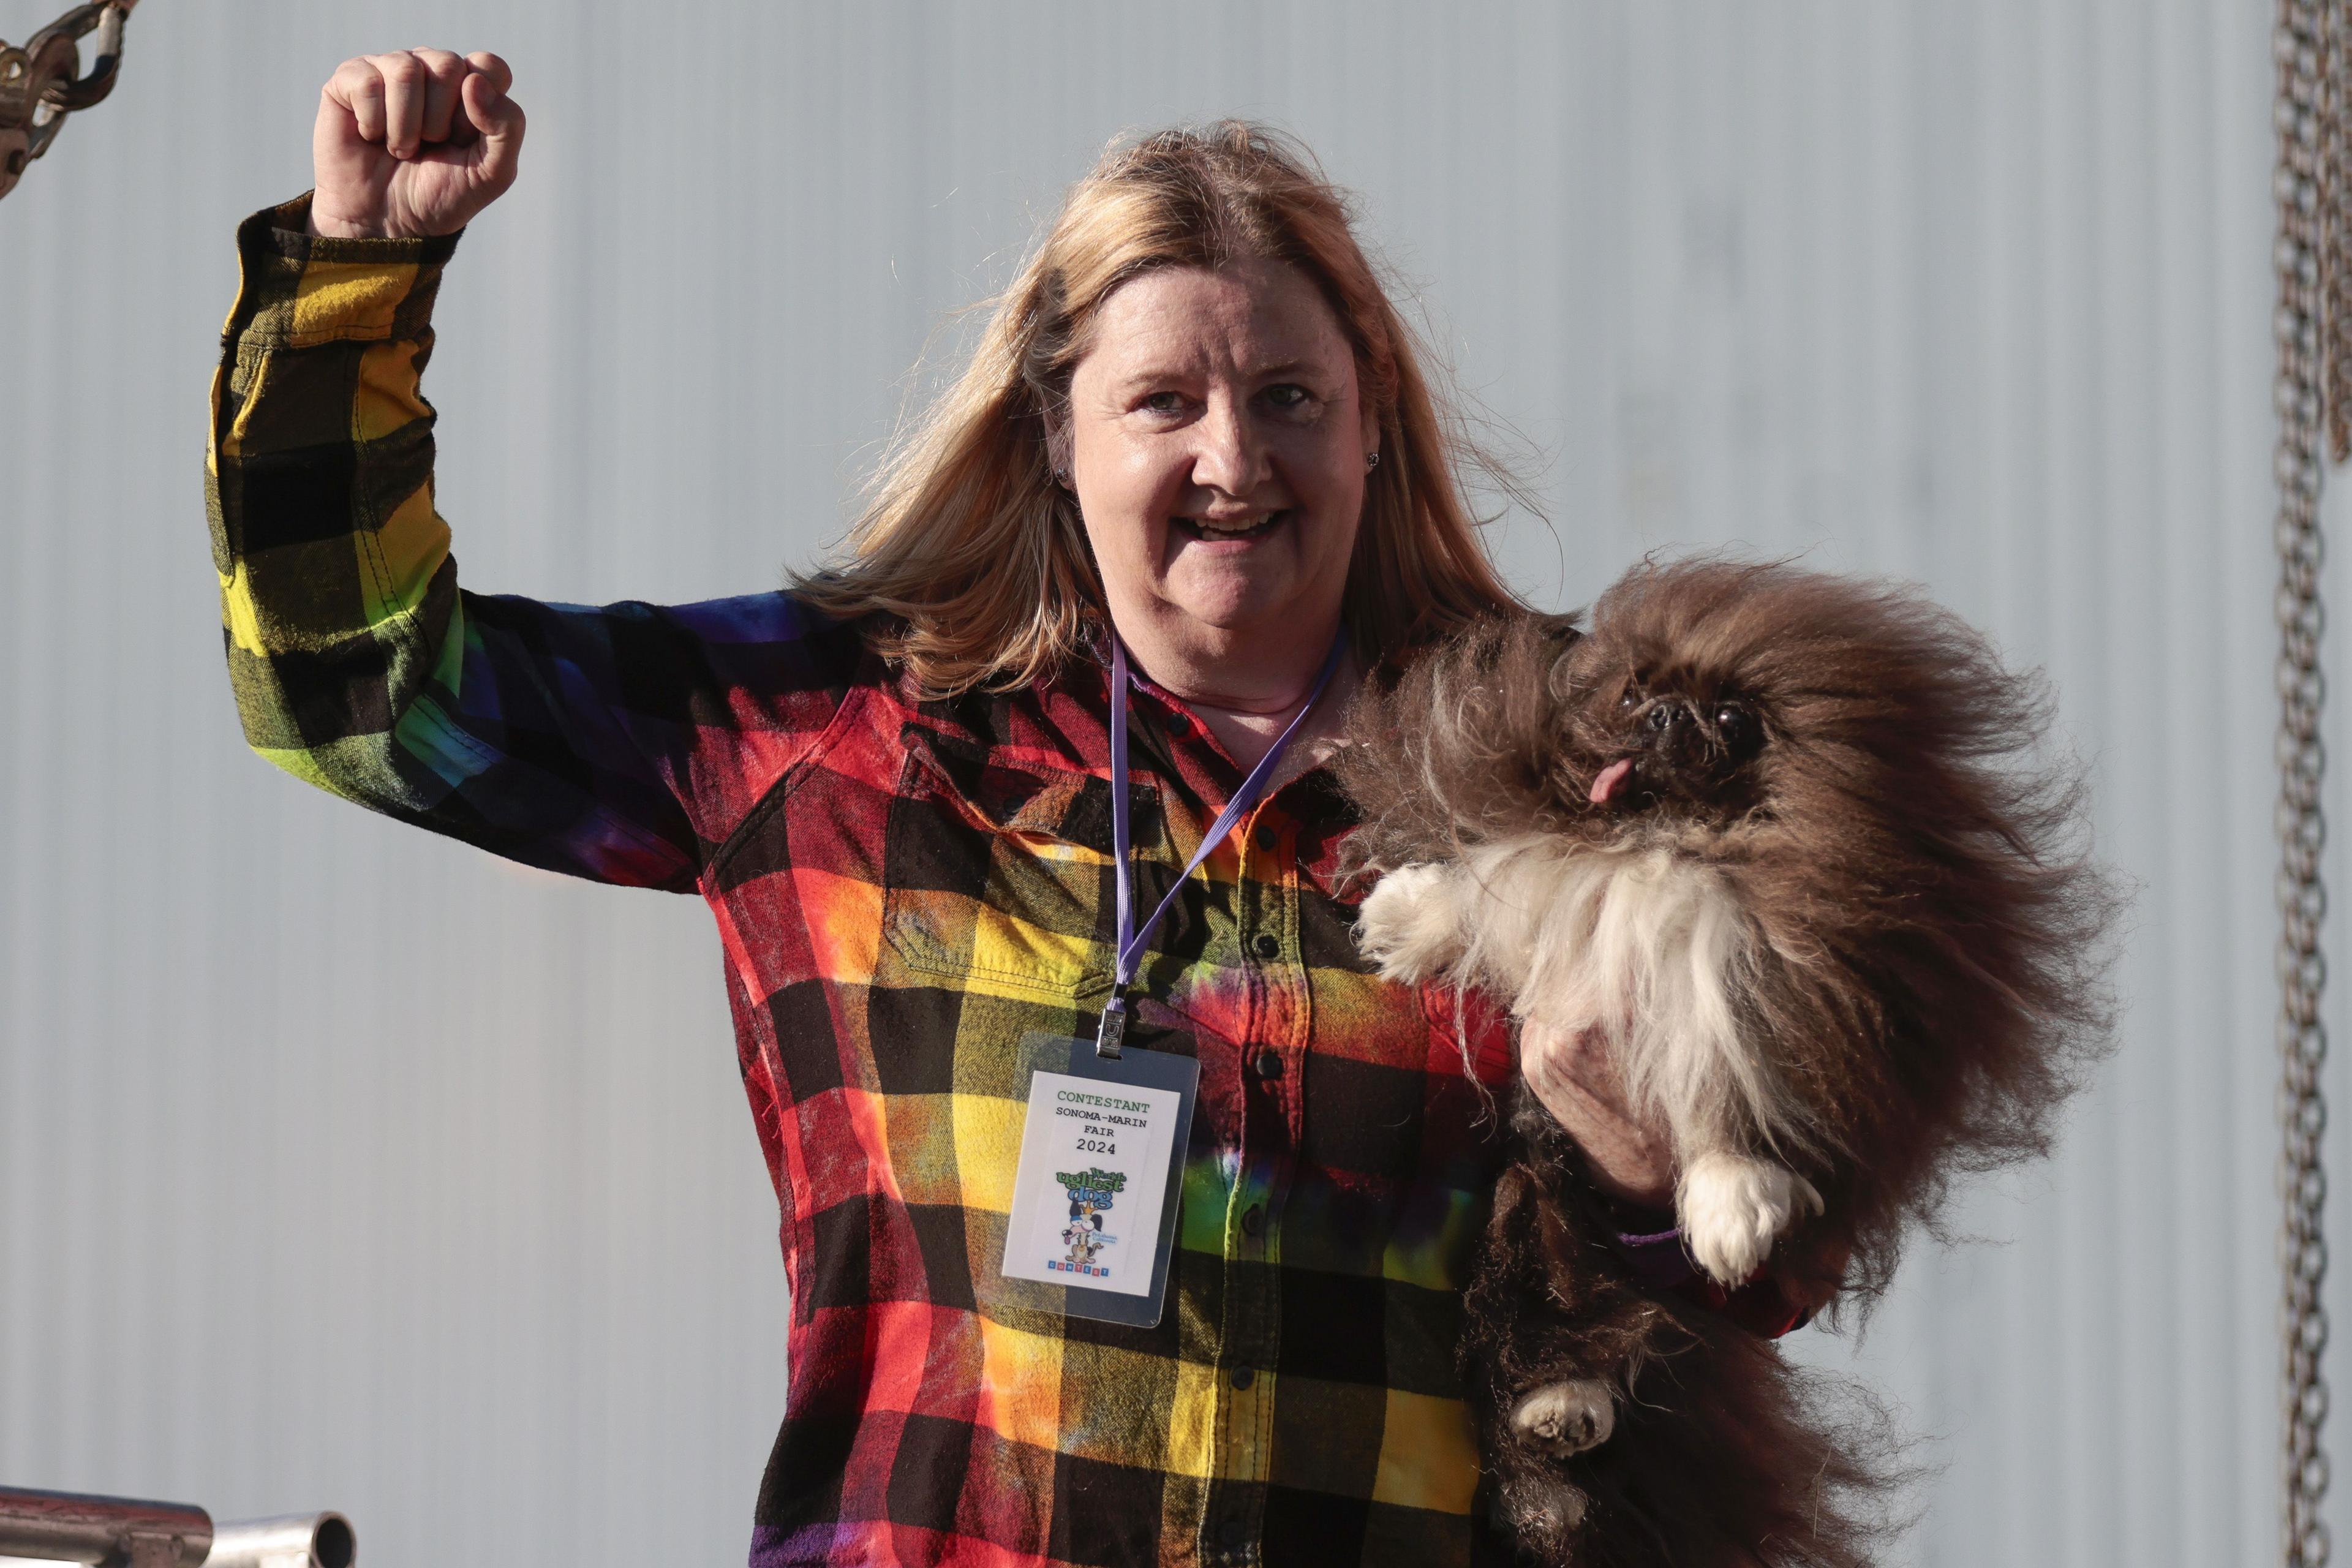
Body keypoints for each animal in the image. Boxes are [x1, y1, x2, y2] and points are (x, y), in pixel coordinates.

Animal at [1336, 564, 2126, 1568]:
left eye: (1733, 720)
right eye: (1634, 693)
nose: (1667, 714)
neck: (1669, 840)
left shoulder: (1767, 999)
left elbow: (1728, 1108)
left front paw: (1734, 1214)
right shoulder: (1554, 888)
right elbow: (1491, 884)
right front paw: (1402, 916)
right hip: (1526, 1196)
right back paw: (1560, 1408)